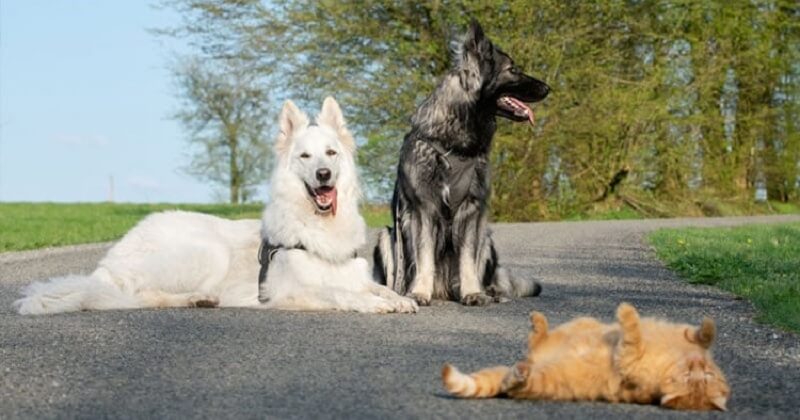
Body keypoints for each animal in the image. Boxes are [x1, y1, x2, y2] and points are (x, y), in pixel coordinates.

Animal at [14, 98, 418, 316]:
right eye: (305, 156)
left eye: (331, 153)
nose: (324, 175)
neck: (317, 227)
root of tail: (106, 264)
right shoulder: (291, 291)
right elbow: (339, 292)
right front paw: (374, 304)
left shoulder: (355, 274)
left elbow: (377, 288)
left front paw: (397, 298)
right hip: (207, 252)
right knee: (140, 295)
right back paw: (195, 298)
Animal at [372, 21, 548, 306]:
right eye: (512, 70)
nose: (548, 88)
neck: (454, 143)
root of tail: (444, 290)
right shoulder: (424, 209)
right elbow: (424, 256)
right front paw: (419, 292)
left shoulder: (471, 208)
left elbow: (467, 259)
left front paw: (472, 292)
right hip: (387, 237)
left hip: (486, 236)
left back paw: (490, 293)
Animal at [444, 304, 732, 412]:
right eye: (703, 374)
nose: (697, 365)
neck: (675, 359)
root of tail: (535, 362)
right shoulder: (690, 339)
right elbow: (703, 334)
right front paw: (706, 325)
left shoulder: (629, 361)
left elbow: (633, 334)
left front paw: (627, 312)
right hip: (582, 323)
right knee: (537, 340)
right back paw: (538, 323)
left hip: (542, 380)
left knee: (512, 384)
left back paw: (520, 372)